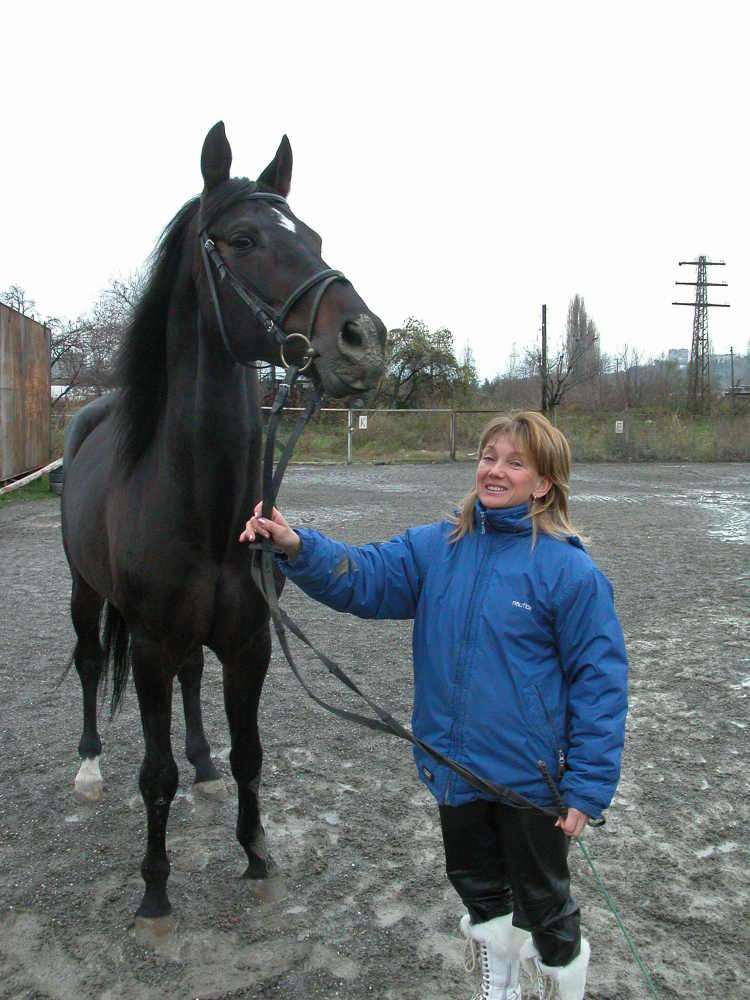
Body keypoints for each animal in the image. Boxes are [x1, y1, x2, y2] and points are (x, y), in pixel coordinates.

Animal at [61, 123, 388, 936]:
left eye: (314, 236)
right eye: (243, 239)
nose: (364, 338)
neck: (201, 505)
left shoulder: (250, 640)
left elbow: (250, 755)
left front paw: (258, 858)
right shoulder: (147, 645)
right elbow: (154, 774)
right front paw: (155, 893)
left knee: (191, 682)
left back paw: (203, 762)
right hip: (85, 592)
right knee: (89, 662)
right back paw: (88, 768)